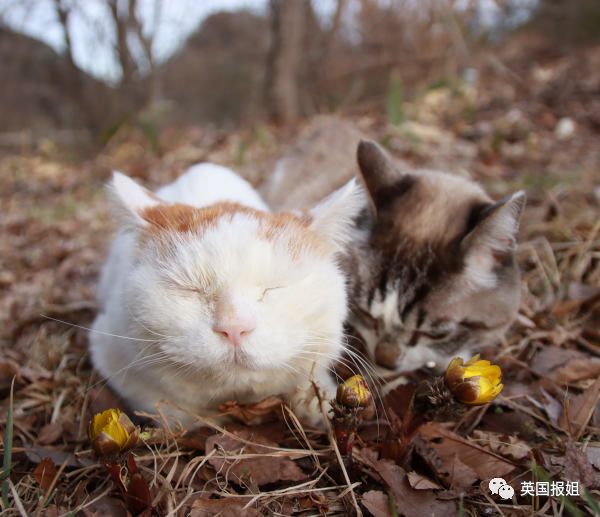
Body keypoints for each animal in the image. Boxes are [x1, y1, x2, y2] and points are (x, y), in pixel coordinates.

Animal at [88, 163, 360, 426]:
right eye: (190, 288)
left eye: (274, 288)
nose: (234, 328)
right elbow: (171, 409)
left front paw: (315, 402)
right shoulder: (109, 351)